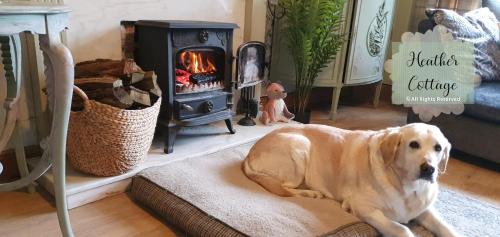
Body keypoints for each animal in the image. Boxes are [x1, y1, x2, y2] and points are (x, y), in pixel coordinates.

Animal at [243, 123, 460, 237]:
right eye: (414, 144)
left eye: (438, 148)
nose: (429, 169)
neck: (406, 187)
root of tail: (249, 154)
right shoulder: (364, 208)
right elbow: (400, 228)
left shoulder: (425, 209)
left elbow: (446, 227)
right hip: (300, 145)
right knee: (286, 188)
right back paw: (310, 192)